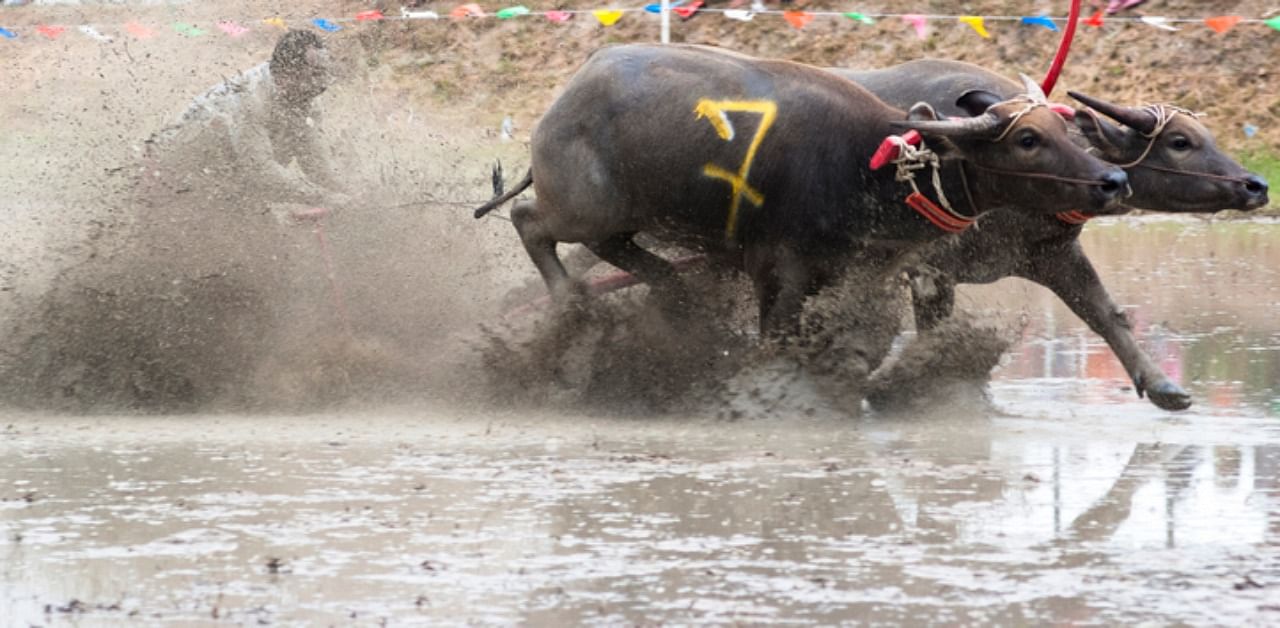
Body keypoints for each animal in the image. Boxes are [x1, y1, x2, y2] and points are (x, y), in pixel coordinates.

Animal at [476, 44, 1126, 335]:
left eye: (1064, 128)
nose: (1113, 180)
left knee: (617, 249)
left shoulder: (852, 277)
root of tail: (563, 102)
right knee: (530, 220)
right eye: (1028, 140)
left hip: (633, 216)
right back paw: (572, 302)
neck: (867, 167)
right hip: (581, 207)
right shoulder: (778, 272)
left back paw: (667, 290)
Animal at [834, 60, 1264, 411]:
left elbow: (1106, 314)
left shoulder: (1055, 256)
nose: (1256, 185)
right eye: (1180, 142)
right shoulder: (931, 270)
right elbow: (933, 332)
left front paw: (1163, 385)